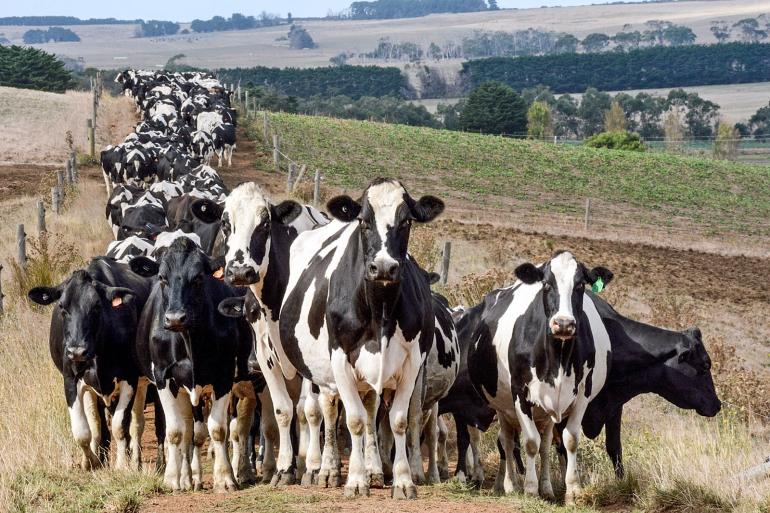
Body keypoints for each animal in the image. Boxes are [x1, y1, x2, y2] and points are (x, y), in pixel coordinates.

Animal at [26, 258, 154, 470]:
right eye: (62, 307)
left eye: (96, 307)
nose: (77, 351)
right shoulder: (70, 379)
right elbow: (83, 431)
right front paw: (91, 462)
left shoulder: (130, 378)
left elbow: (120, 425)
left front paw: (121, 465)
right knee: (97, 424)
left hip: (142, 383)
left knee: (136, 424)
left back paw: (135, 461)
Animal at [130, 238, 252, 490]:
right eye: (162, 277)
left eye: (198, 278)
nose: (175, 318)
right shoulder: (163, 377)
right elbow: (175, 431)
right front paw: (172, 478)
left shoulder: (224, 375)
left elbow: (218, 429)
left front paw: (225, 478)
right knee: (187, 432)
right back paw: (187, 476)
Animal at [276, 178, 444, 498]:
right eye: (364, 221)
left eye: (406, 222)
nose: (384, 267)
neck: (380, 310)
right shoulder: (340, 358)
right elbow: (352, 420)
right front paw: (354, 480)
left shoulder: (412, 362)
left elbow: (397, 420)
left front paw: (402, 480)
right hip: (322, 374)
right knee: (328, 411)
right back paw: (327, 470)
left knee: (369, 411)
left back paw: (373, 470)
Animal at [464, 250, 616, 502]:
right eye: (546, 284)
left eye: (580, 285)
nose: (563, 323)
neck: (558, 358)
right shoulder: (519, 394)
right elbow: (530, 442)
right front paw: (529, 488)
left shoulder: (582, 395)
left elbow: (569, 440)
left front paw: (572, 490)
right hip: (502, 406)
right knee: (507, 441)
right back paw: (509, 484)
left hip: (545, 412)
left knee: (545, 444)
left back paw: (547, 488)